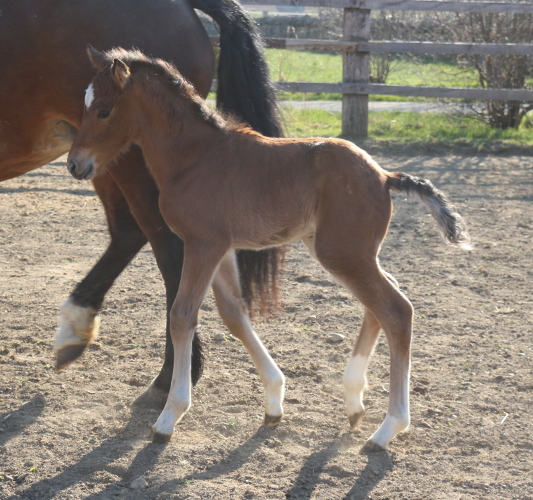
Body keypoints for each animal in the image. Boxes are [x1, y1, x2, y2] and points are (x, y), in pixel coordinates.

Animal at [0, 0, 284, 406]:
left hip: (127, 161)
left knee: (168, 249)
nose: (71, 164)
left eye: (104, 109)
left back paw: (172, 374)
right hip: (102, 158)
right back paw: (77, 329)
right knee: (129, 234)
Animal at [67, 47, 470, 454]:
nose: (74, 164)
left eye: (104, 110)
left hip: (342, 252)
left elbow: (181, 316)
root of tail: (384, 176)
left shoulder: (202, 244)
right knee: (382, 302)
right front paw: (274, 400)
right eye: (84, 104)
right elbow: (234, 315)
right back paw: (354, 400)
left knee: (396, 310)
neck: (192, 156)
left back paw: (388, 428)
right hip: (346, 252)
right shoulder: (221, 248)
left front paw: (169, 417)